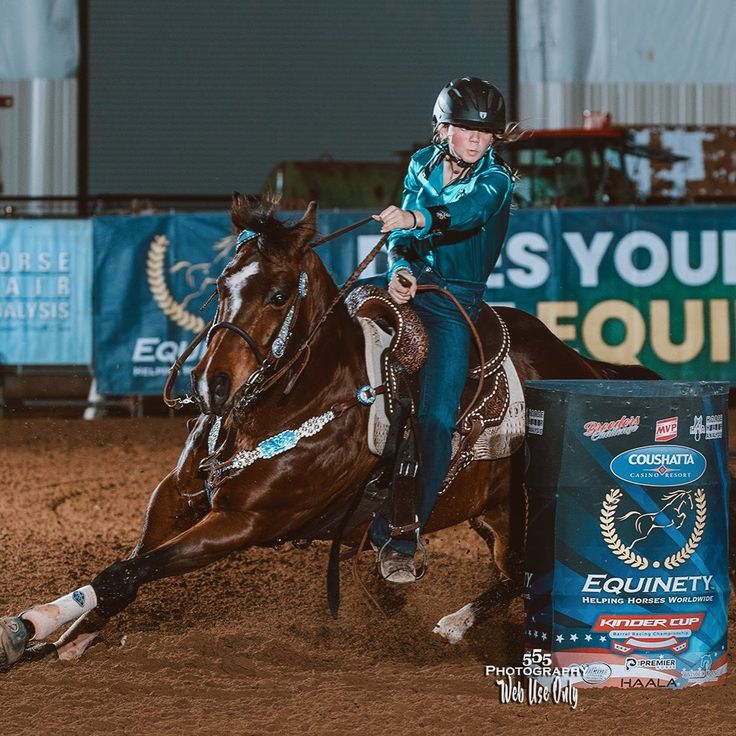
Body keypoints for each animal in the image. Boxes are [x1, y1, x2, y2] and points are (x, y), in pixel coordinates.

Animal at [1, 196, 660, 668]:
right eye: (219, 286)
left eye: (277, 294)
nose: (212, 386)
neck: (295, 401)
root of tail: (581, 364)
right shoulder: (175, 495)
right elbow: (127, 569)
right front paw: (65, 633)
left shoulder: (246, 523)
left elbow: (125, 572)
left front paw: (25, 632)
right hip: (494, 511)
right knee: (512, 572)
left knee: (527, 575)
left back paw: (452, 624)